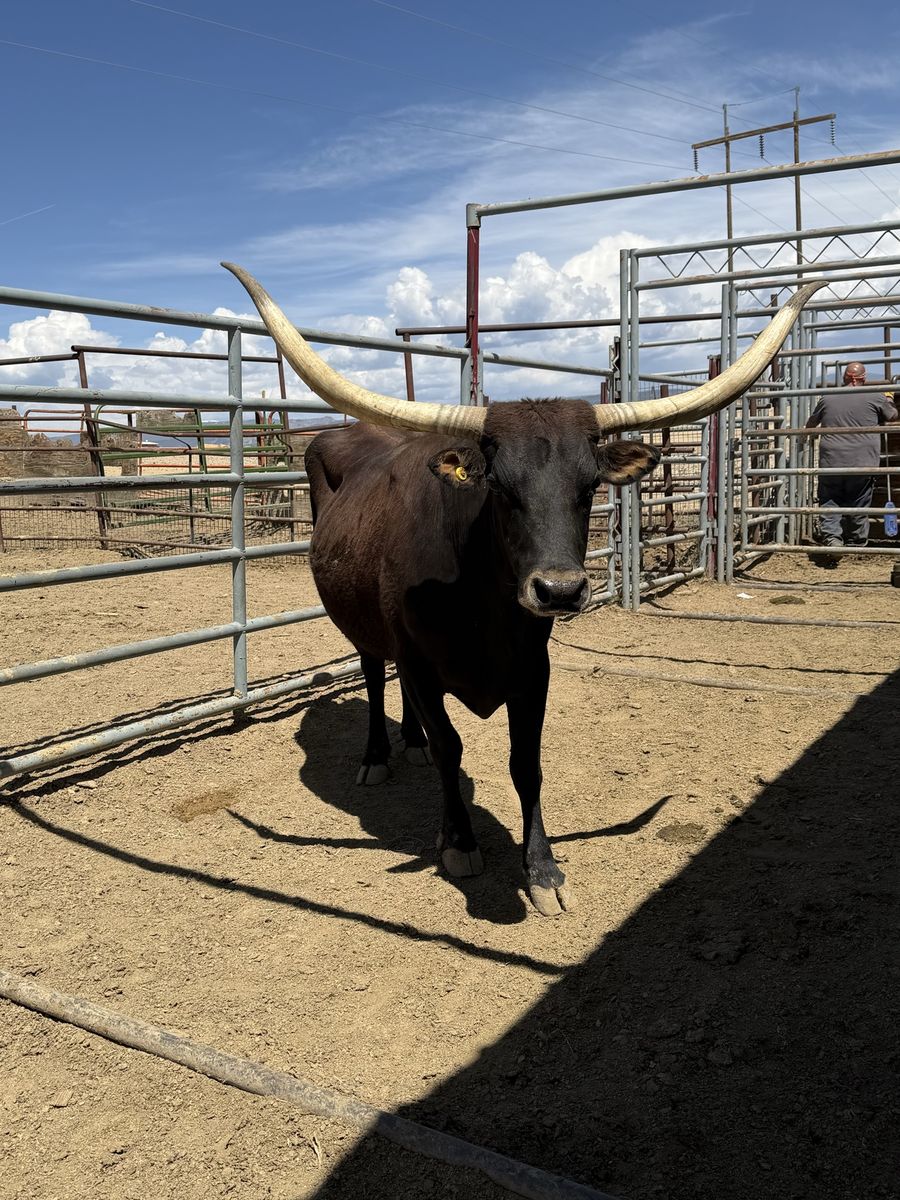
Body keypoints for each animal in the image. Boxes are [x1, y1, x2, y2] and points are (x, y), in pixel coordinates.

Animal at [224, 263, 822, 916]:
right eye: (500, 488)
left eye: (589, 487)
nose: (559, 591)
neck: (480, 605)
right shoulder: (422, 664)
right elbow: (450, 748)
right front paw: (459, 842)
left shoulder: (533, 670)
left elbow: (525, 763)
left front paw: (542, 869)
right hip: (364, 627)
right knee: (375, 674)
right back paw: (379, 754)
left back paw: (408, 741)